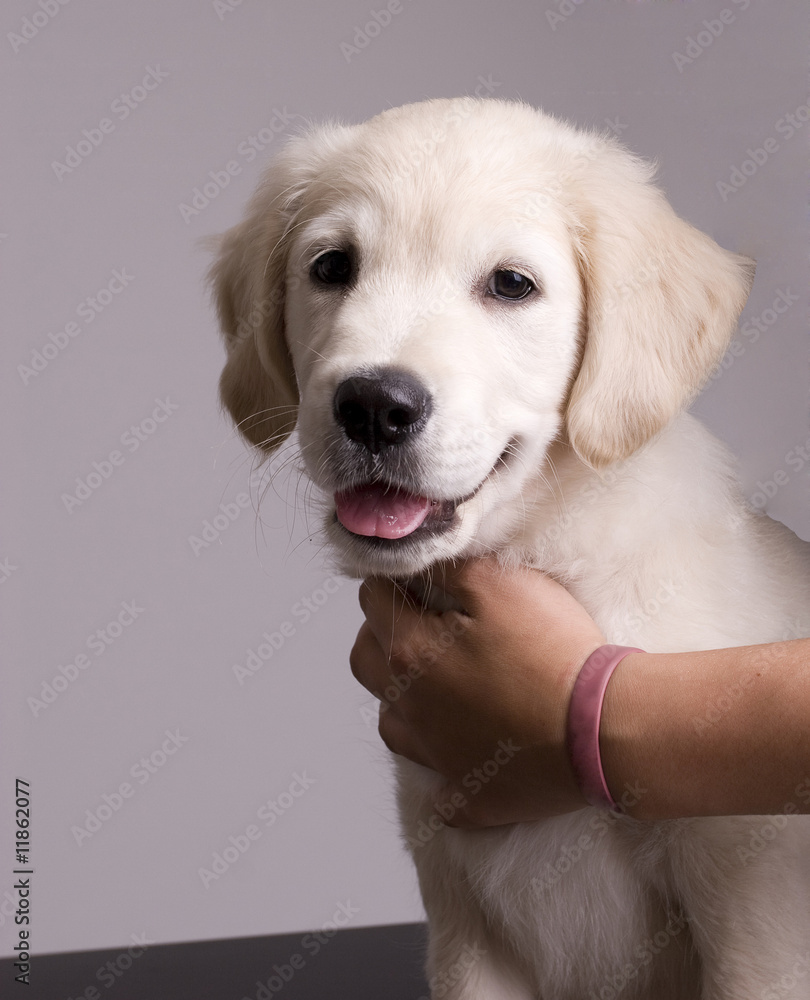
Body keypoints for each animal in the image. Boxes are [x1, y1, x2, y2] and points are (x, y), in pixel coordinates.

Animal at [209, 98, 810, 999]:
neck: (549, 553)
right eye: (332, 267)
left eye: (512, 285)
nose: (374, 406)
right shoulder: (461, 914)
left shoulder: (754, 918)